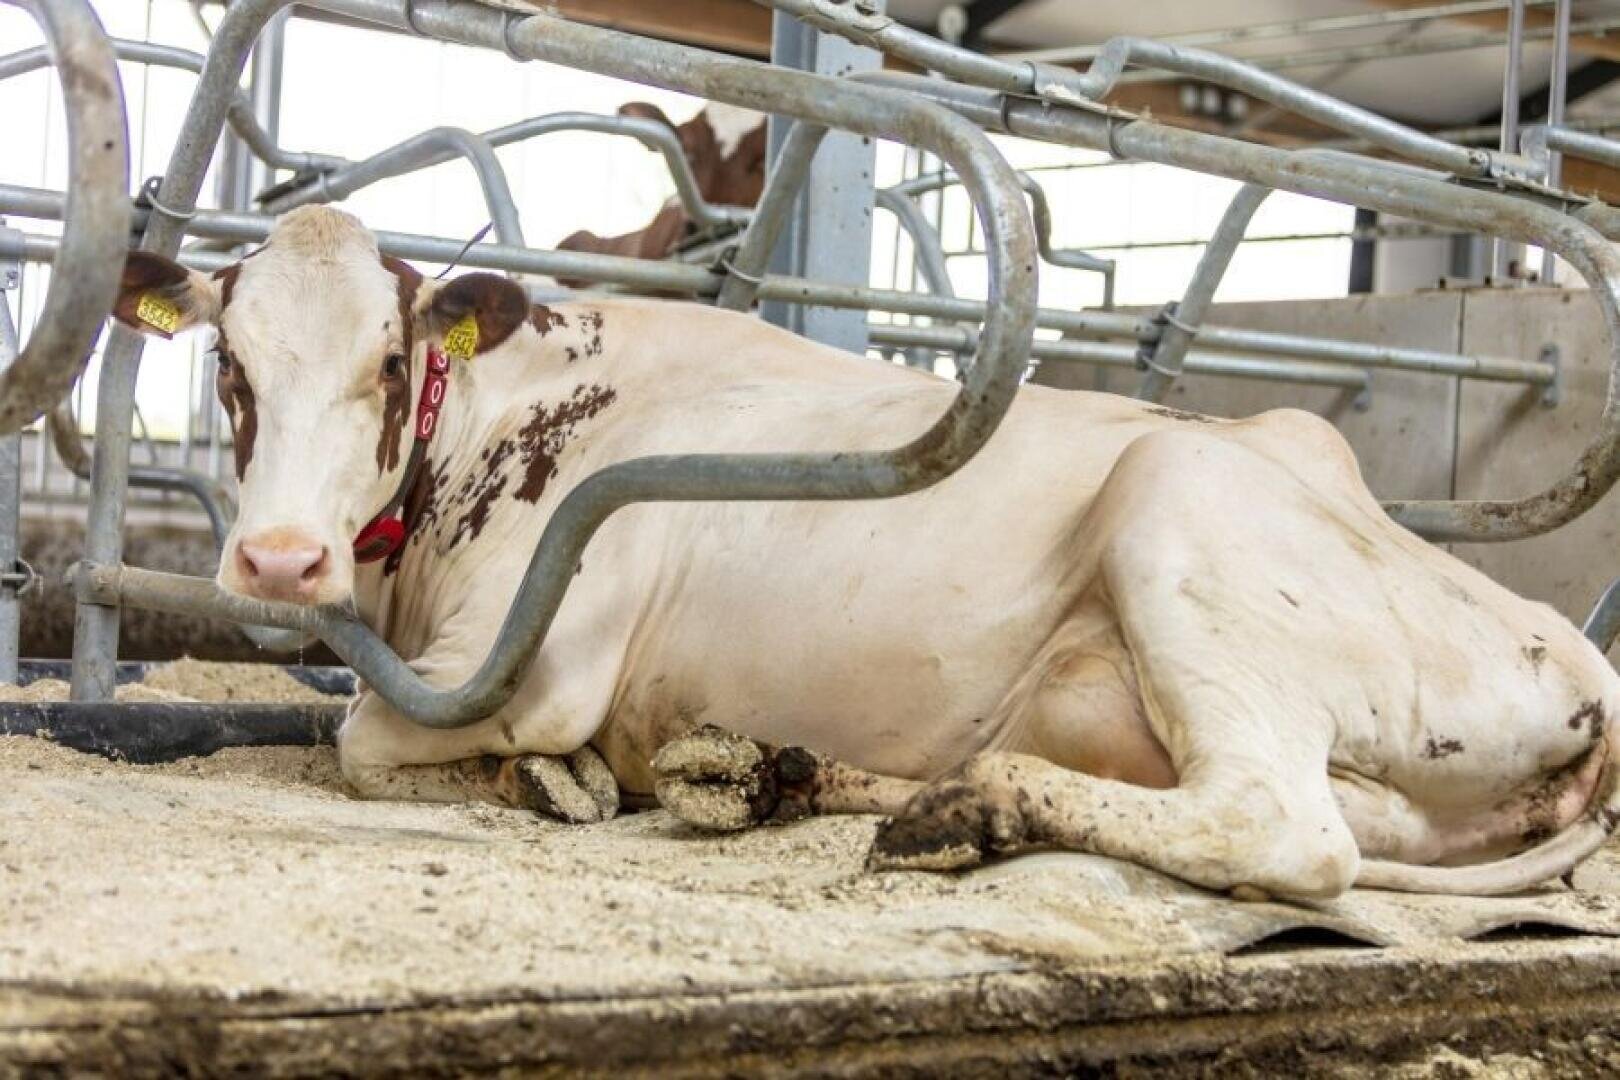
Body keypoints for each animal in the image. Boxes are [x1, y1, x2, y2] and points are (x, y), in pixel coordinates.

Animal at [108, 205, 1619, 901]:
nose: (281, 563)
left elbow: (365, 740)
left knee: (1284, 831)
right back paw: (774, 776)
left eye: (386, 359)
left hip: (1178, 502)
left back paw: (970, 807)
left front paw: (551, 778)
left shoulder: (527, 661)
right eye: (230, 369)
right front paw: (585, 780)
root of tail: (1577, 657)